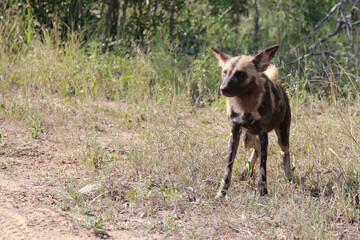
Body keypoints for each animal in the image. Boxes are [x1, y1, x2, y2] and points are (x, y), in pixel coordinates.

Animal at [211, 45, 292, 199]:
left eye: (241, 74)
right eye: (225, 72)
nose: (223, 89)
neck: (245, 104)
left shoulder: (262, 133)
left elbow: (263, 169)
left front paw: (263, 192)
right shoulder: (234, 133)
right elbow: (228, 168)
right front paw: (221, 193)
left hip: (282, 139)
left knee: (285, 154)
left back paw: (289, 176)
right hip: (246, 138)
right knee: (256, 148)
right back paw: (246, 171)